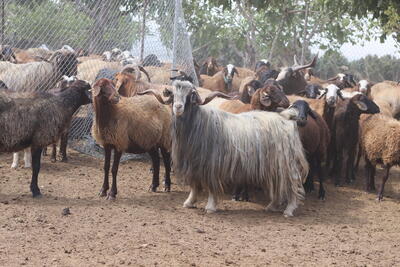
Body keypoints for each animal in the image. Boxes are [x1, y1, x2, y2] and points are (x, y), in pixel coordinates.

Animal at [141, 81, 310, 218]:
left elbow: (210, 187)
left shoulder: (211, 165)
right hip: (273, 166)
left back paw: (289, 210)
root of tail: (286, 117)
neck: (199, 123)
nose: (178, 107)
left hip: (287, 164)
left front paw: (210, 207)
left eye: (190, 94)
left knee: (293, 184)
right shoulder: (194, 165)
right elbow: (195, 186)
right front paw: (189, 202)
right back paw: (272, 206)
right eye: (173, 94)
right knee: (277, 185)